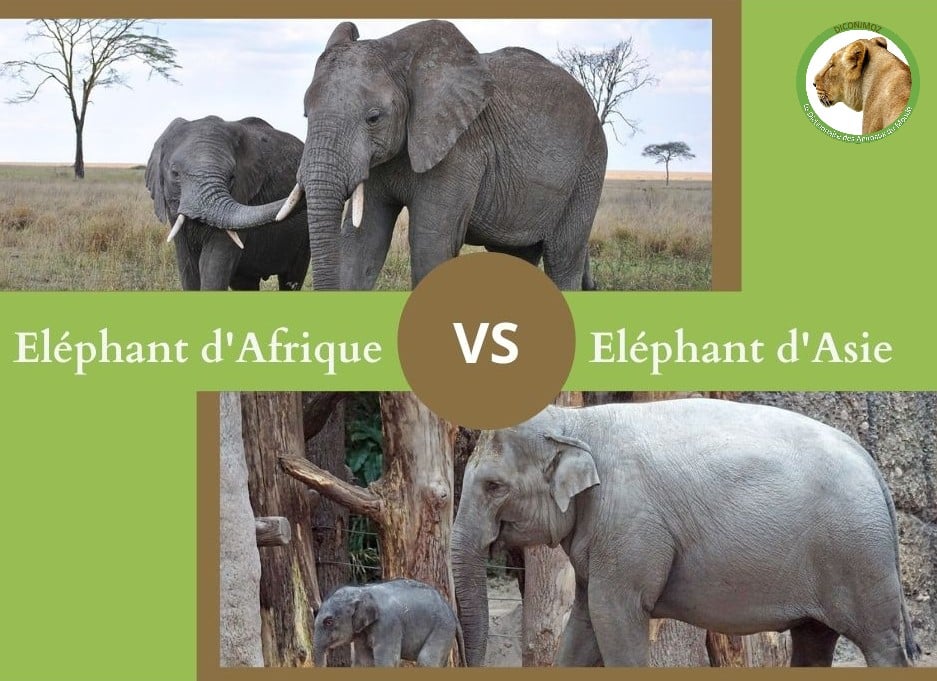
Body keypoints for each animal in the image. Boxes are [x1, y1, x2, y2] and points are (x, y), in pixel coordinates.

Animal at [145, 116, 309, 290]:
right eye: (175, 173)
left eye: (231, 177)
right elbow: (188, 271)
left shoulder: (242, 194)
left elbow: (213, 268)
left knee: (292, 278)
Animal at [232, 20, 607, 290]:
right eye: (306, 115)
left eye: (373, 118)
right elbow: (362, 243)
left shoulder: (459, 150)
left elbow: (430, 244)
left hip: (589, 165)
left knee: (563, 256)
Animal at [312, 579, 464, 667]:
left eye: (329, 622)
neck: (362, 590)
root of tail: (450, 609)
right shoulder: (362, 631)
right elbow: (365, 661)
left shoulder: (388, 624)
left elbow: (387, 661)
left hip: (442, 627)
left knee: (426, 660)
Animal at [452, 399, 919, 667]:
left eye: (493, 486)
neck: (576, 421)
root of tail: (868, 458)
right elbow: (585, 621)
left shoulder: (629, 525)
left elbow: (614, 615)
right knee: (813, 640)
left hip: (859, 555)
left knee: (881, 644)